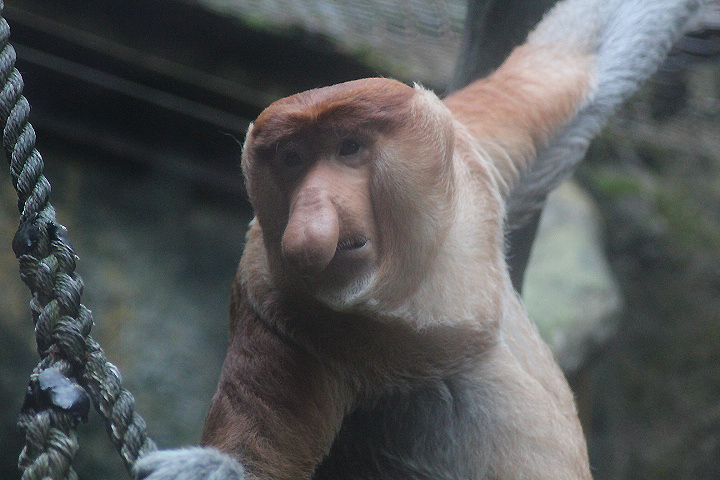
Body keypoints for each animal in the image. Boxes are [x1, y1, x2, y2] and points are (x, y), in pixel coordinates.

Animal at [133, 0, 699, 479]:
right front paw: (206, 467)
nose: (311, 221)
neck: (413, 280)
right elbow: (258, 452)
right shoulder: (275, 309)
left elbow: (577, 55)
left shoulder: (470, 155)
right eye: (293, 160)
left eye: (349, 148)